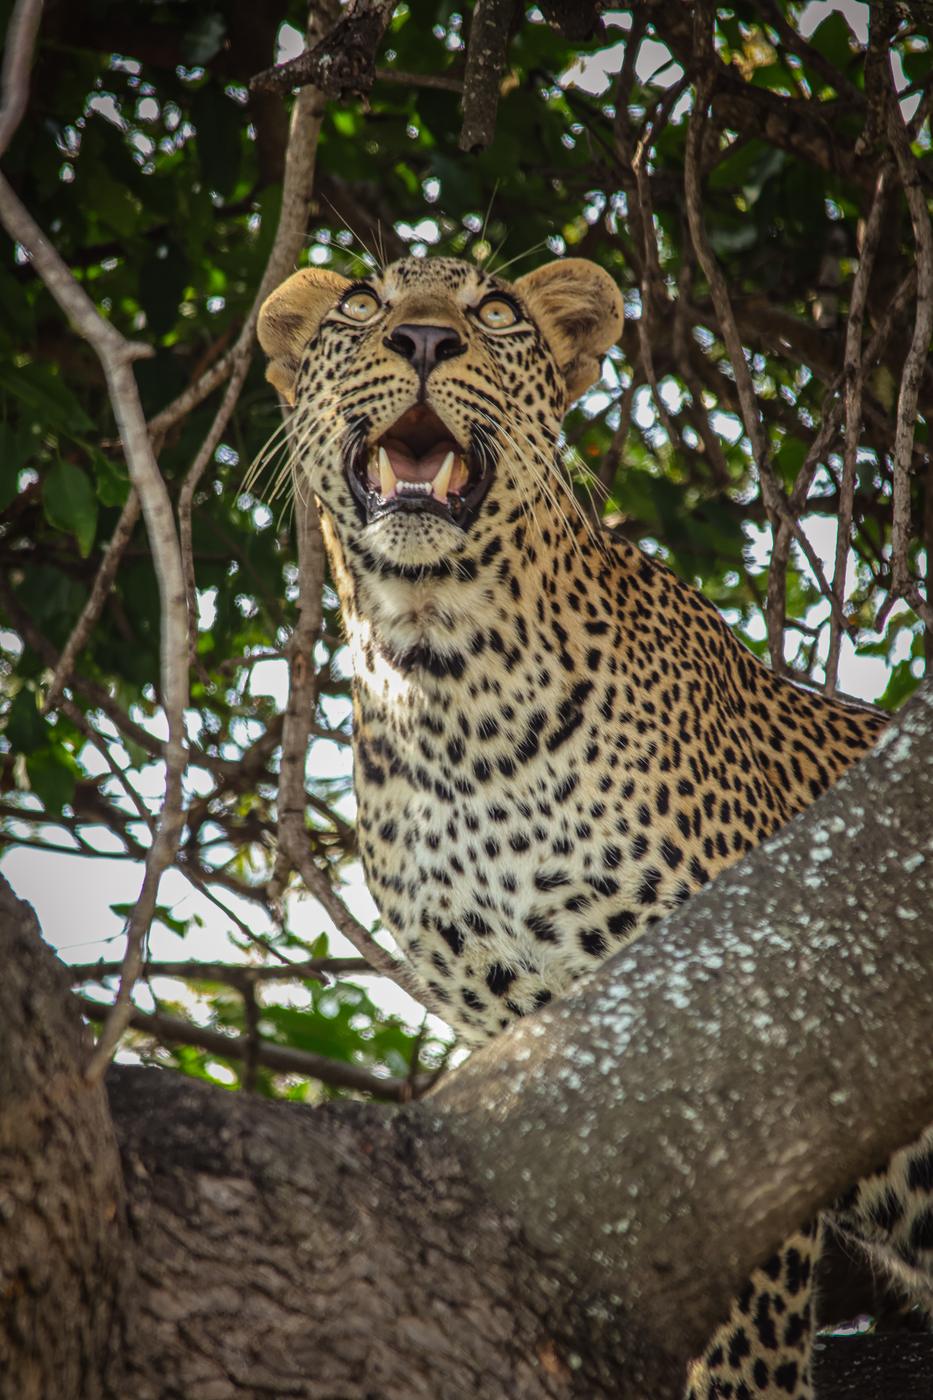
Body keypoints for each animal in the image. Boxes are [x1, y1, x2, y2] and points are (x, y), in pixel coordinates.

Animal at [258, 253, 933, 1399]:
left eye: (494, 312)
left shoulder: (734, 1069)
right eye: (360, 305)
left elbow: (741, 1360)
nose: (425, 341)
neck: (443, 678)